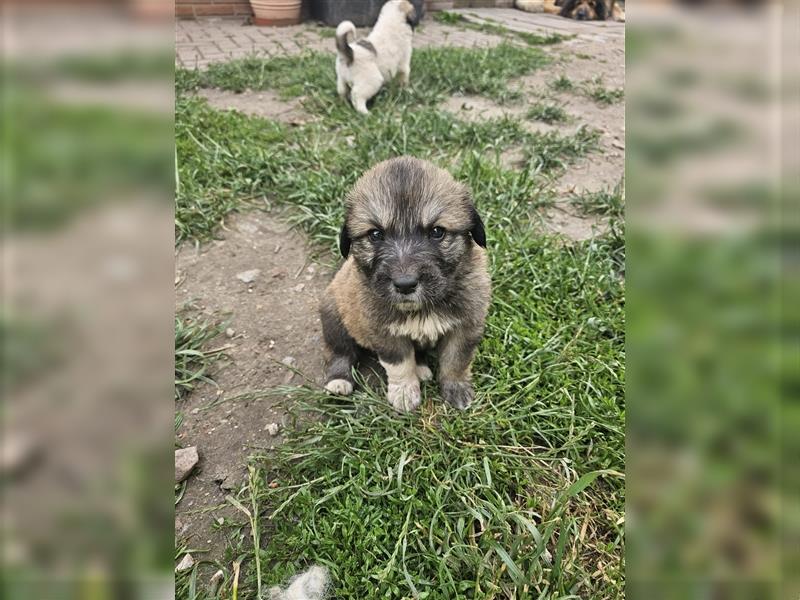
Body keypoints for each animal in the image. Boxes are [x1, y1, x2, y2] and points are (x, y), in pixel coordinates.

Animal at [318, 156, 490, 412]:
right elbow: (399, 364)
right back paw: (339, 381)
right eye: (375, 234)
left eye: (437, 231)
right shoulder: (384, 332)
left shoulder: (466, 325)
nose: (405, 284)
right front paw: (404, 392)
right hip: (334, 317)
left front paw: (456, 388)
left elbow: (456, 360)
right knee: (339, 351)